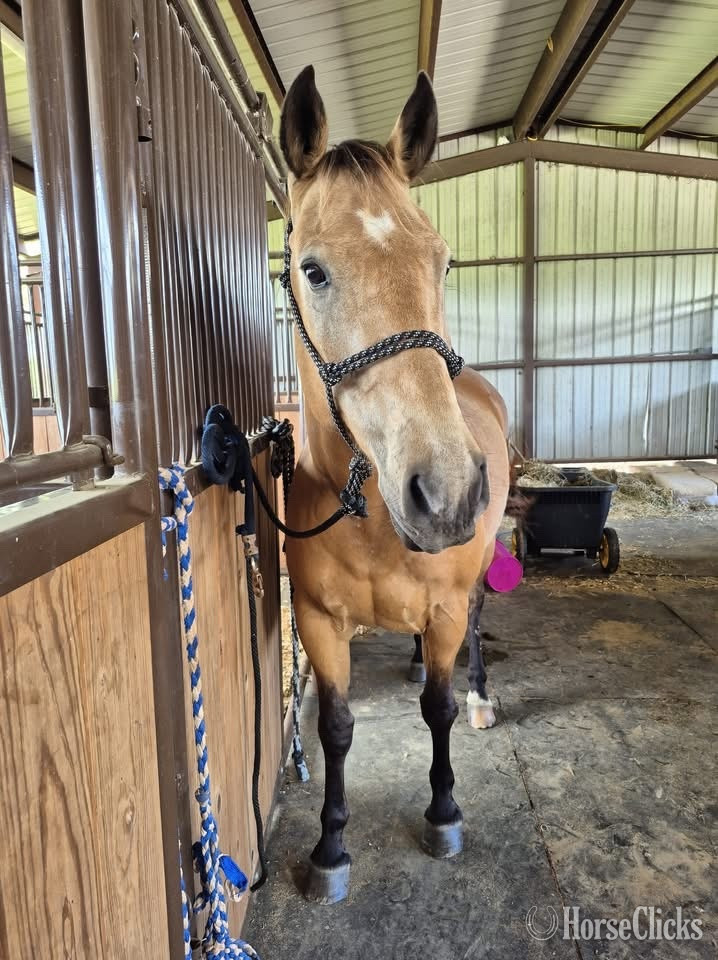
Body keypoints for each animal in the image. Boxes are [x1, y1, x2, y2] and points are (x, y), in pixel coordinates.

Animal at [279, 65, 510, 904]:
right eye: (313, 270)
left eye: (442, 261)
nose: (446, 494)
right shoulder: (317, 623)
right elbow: (336, 729)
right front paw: (330, 848)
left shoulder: (442, 604)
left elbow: (435, 708)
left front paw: (444, 813)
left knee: (472, 630)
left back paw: (478, 693)